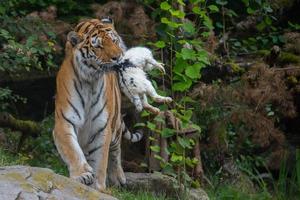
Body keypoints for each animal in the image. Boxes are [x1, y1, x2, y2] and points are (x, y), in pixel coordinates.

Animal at [53, 19, 134, 192]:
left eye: (114, 41)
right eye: (98, 46)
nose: (118, 57)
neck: (90, 81)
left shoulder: (102, 127)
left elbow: (100, 160)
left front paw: (98, 186)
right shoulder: (64, 122)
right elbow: (72, 150)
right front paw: (82, 175)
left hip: (115, 126)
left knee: (116, 150)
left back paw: (119, 177)